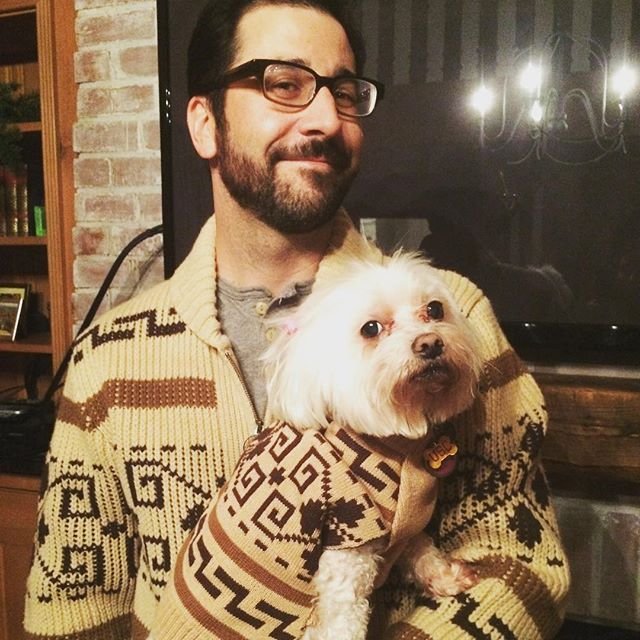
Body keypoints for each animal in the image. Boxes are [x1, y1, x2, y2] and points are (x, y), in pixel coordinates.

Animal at [156, 252, 480, 640]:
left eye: (434, 309)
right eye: (370, 329)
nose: (430, 343)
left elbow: (421, 548)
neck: (394, 441)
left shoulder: (402, 524)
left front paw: (446, 576)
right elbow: (346, 617)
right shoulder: (349, 542)